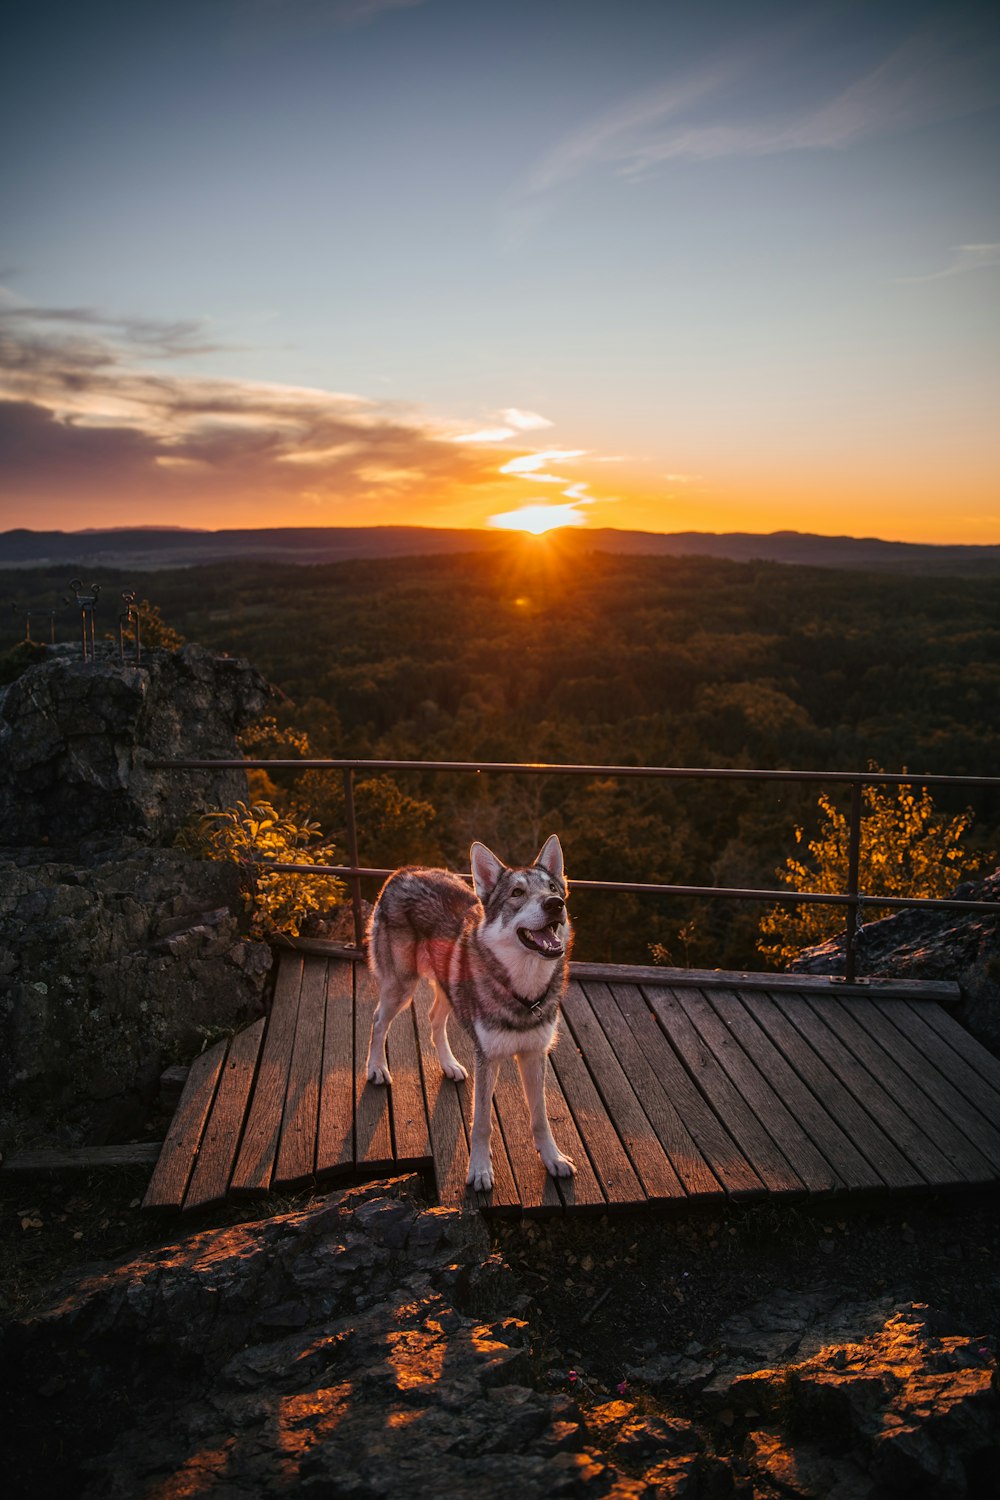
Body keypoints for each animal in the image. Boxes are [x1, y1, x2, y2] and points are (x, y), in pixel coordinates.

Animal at [365, 840, 578, 1188]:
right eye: (517, 893)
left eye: (551, 888)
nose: (555, 904)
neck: (524, 993)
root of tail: (404, 871)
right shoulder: (488, 1059)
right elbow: (482, 1122)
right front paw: (479, 1170)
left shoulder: (534, 1054)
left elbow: (540, 1118)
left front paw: (553, 1158)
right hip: (401, 988)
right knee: (378, 1020)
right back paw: (377, 1069)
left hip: (446, 989)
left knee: (433, 1020)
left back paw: (450, 1065)